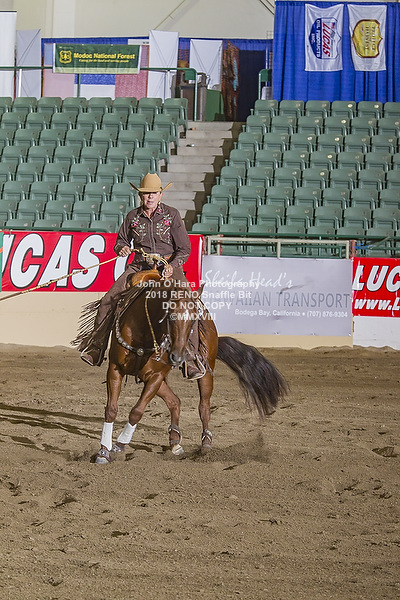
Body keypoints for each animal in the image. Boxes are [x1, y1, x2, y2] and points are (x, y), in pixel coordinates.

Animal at [75, 270, 288, 464]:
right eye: (170, 316)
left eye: (193, 320)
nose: (177, 356)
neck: (144, 331)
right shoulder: (116, 369)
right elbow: (111, 409)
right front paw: (104, 451)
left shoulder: (156, 376)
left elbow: (137, 411)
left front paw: (120, 444)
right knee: (175, 401)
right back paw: (175, 441)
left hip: (205, 370)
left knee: (204, 407)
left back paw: (205, 444)